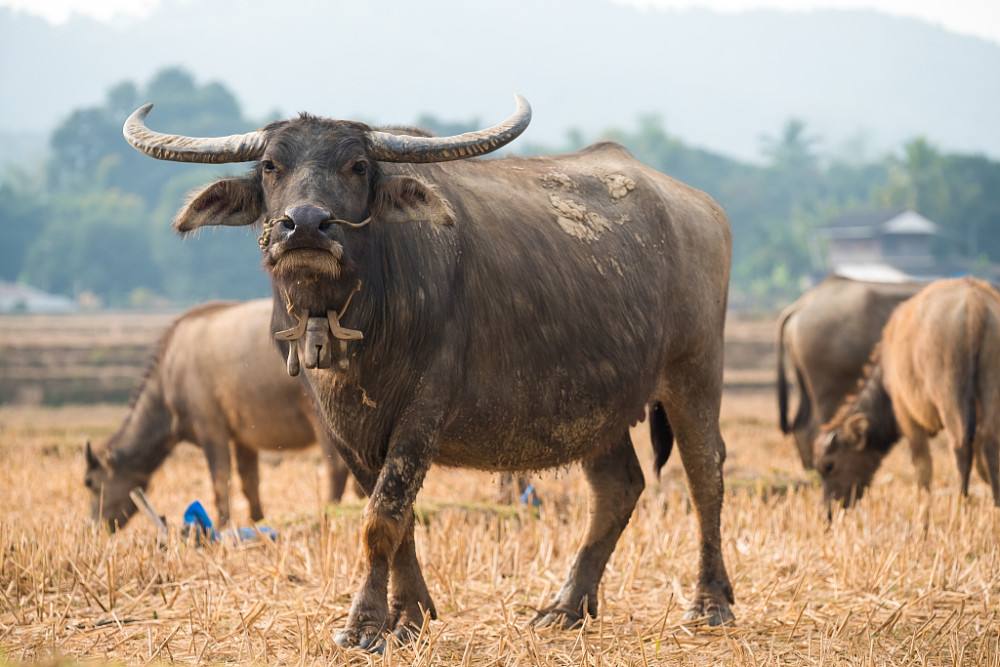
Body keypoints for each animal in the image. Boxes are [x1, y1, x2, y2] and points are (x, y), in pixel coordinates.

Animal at [84, 300, 354, 528]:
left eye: (91, 483)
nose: (93, 527)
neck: (169, 378)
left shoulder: (211, 428)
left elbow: (220, 479)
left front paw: (223, 524)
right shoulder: (244, 437)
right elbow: (249, 481)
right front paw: (257, 520)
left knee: (336, 466)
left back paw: (329, 512)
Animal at [123, 96, 736, 648]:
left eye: (358, 165)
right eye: (272, 165)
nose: (306, 226)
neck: (357, 315)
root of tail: (702, 210)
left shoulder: (423, 410)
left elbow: (382, 518)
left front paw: (365, 625)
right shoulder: (345, 429)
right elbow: (399, 518)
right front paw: (410, 613)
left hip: (694, 372)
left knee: (705, 475)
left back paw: (710, 602)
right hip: (598, 405)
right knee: (618, 486)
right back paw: (566, 606)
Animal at [816, 280, 1000, 508]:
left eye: (829, 465)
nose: (829, 509)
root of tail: (976, 305)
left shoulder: (906, 414)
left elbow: (922, 465)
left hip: (949, 395)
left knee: (961, 447)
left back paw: (961, 503)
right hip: (990, 390)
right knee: (990, 443)